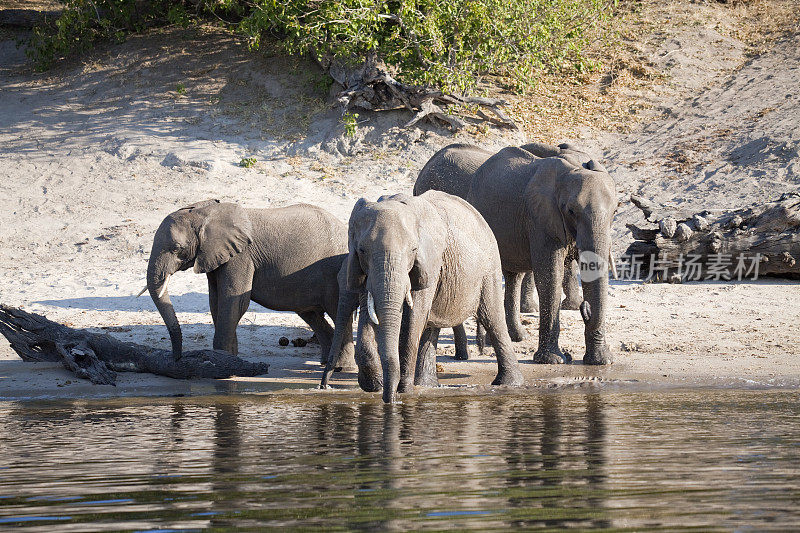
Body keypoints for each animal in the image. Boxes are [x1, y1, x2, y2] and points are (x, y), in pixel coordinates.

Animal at [143, 198, 354, 366]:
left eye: (177, 249)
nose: (177, 359)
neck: (205, 211)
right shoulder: (217, 257)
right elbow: (216, 301)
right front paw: (230, 359)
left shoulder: (241, 257)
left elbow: (234, 301)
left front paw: (224, 360)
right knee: (311, 314)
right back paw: (326, 362)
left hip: (336, 275)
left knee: (337, 312)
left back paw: (341, 367)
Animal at [318, 189, 524, 402]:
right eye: (362, 250)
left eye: (413, 250)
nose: (389, 399)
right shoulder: (366, 271)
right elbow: (371, 316)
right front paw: (376, 385)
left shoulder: (430, 262)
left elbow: (412, 319)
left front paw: (402, 392)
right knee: (431, 326)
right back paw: (427, 385)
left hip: (489, 267)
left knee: (492, 318)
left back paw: (508, 384)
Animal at [468, 149, 620, 366]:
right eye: (571, 211)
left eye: (615, 211)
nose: (585, 307)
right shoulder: (541, 220)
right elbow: (550, 277)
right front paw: (553, 360)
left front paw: (601, 361)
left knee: (513, 276)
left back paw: (511, 338)